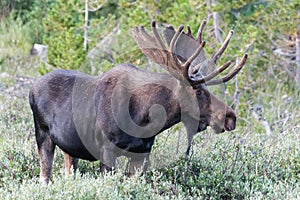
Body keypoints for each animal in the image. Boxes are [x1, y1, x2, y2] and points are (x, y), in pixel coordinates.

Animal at [29, 20, 247, 184]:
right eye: (199, 91)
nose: (230, 117)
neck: (144, 117)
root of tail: (32, 87)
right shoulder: (106, 150)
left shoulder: (142, 153)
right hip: (43, 135)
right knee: (44, 176)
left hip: (69, 147)